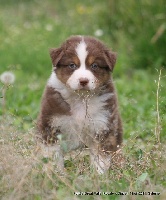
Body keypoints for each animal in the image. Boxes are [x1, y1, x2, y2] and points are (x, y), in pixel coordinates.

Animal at [37, 35, 122, 173]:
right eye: (72, 65)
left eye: (94, 65)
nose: (83, 81)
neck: (81, 98)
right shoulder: (51, 126)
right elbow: (53, 155)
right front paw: (55, 174)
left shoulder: (103, 127)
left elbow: (100, 158)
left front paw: (99, 175)